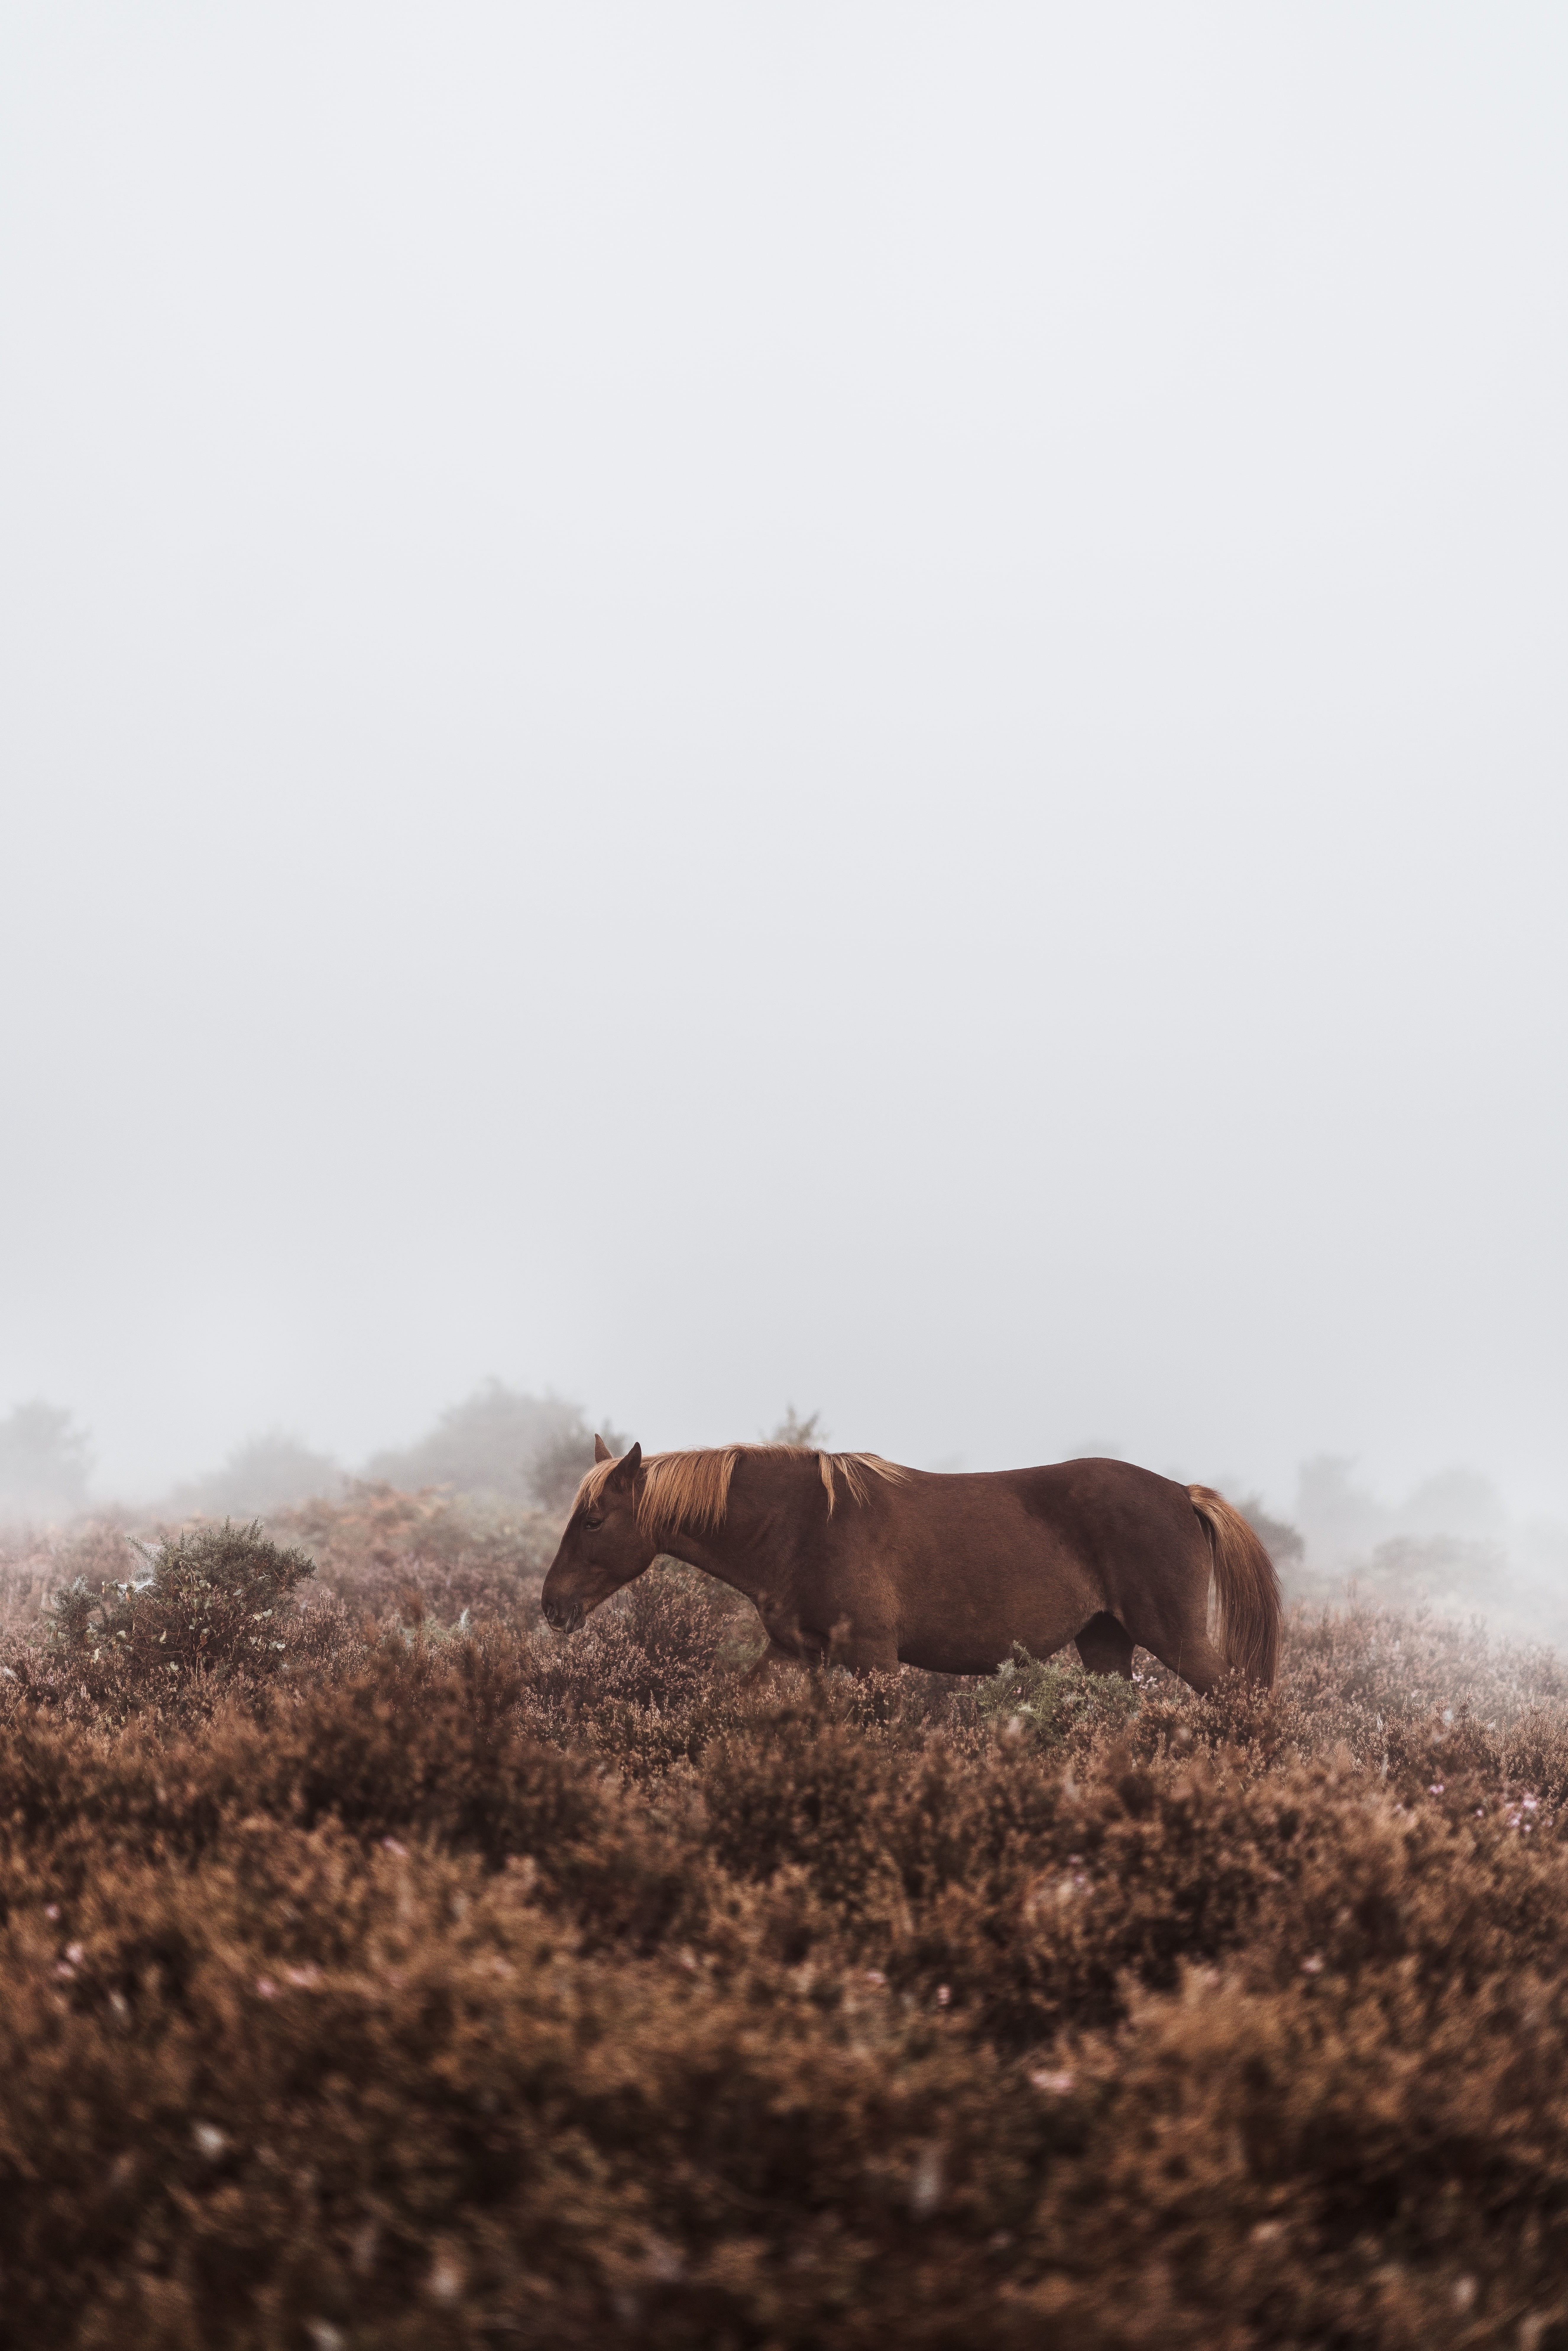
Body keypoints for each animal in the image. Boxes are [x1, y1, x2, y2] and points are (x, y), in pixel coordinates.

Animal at [540, 1438, 1281, 1691]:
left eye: (595, 1520)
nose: (551, 1604)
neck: (804, 1525)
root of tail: (1182, 1493)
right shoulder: (796, 1652)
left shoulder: (875, 1657)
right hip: (1105, 1643)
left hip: (1174, 1637)